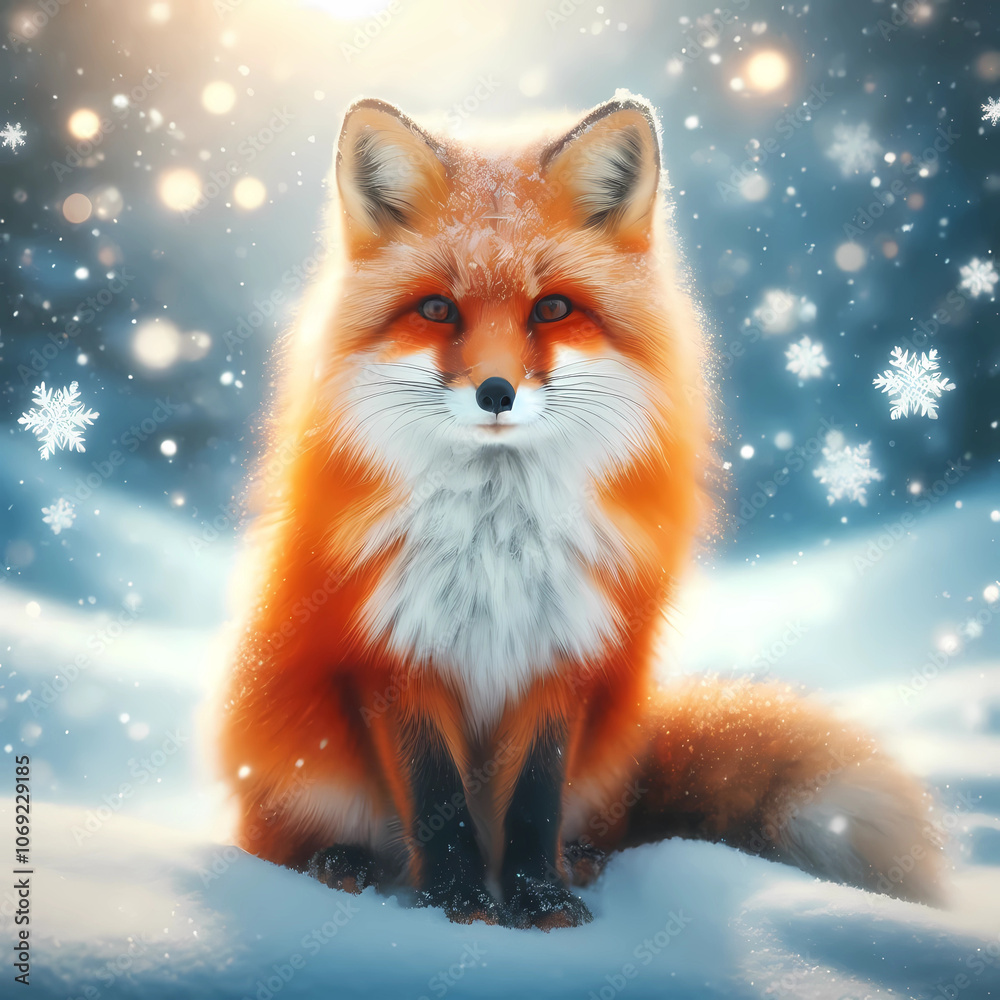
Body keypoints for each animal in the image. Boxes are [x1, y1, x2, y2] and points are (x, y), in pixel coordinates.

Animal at [217, 91, 944, 929]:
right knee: (273, 841)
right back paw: (337, 863)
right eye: (437, 309)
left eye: (553, 309)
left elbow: (535, 799)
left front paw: (539, 903)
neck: (495, 545)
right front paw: (459, 904)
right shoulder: (391, 655)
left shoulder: (566, 651)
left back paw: (584, 861)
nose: (495, 393)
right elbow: (437, 801)